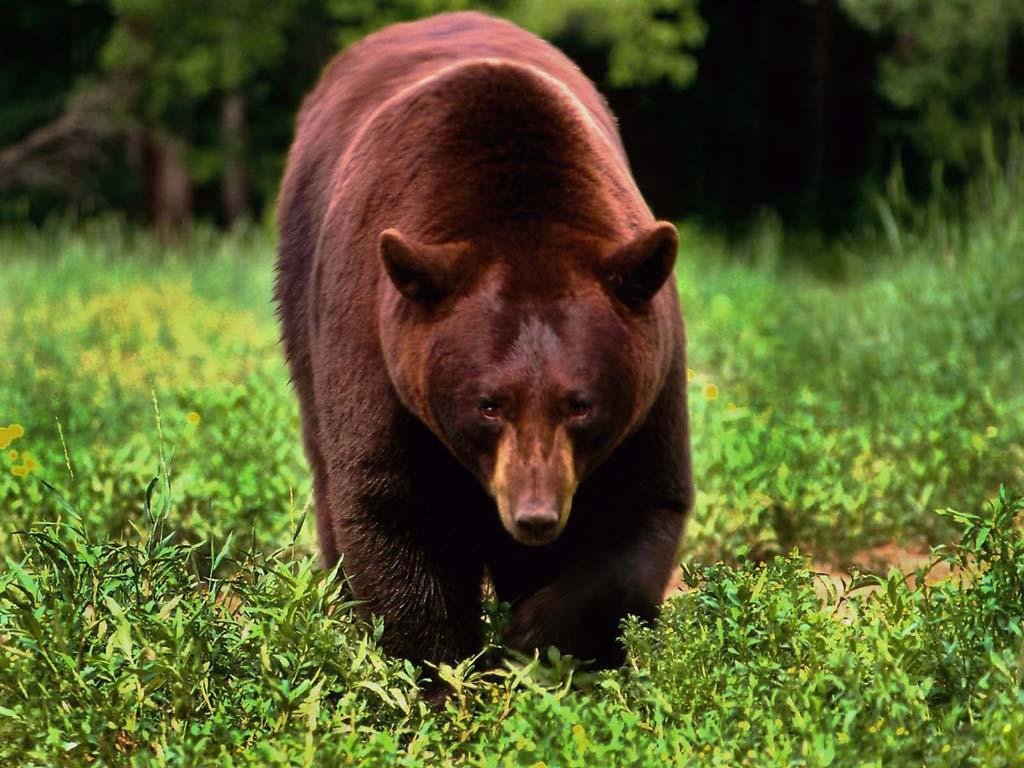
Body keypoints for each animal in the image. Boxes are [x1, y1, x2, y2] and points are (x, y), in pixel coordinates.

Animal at [275, 11, 693, 669]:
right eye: (489, 404)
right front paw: (442, 669)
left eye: (581, 404)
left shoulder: (653, 380)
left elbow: (639, 508)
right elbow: (392, 509)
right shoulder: (376, 352)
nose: (535, 516)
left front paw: (542, 631)